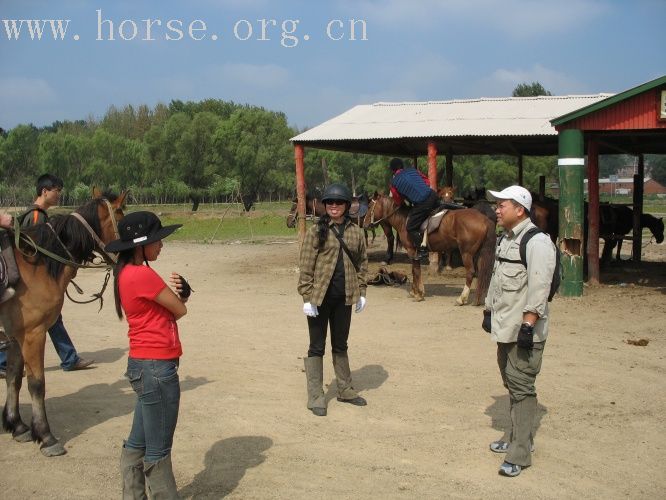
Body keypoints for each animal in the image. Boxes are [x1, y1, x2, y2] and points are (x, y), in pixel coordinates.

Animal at [0, 189, 126, 456]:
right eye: (124, 222)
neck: (36, 266)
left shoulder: (16, 334)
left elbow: (14, 377)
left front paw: (17, 426)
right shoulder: (34, 333)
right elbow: (37, 384)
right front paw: (45, 435)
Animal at [360, 194, 496, 304]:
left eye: (369, 206)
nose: (364, 225)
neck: (405, 219)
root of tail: (485, 219)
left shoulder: (412, 251)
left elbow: (416, 271)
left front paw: (418, 294)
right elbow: (415, 271)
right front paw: (416, 291)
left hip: (466, 253)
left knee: (470, 272)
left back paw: (461, 299)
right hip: (478, 254)